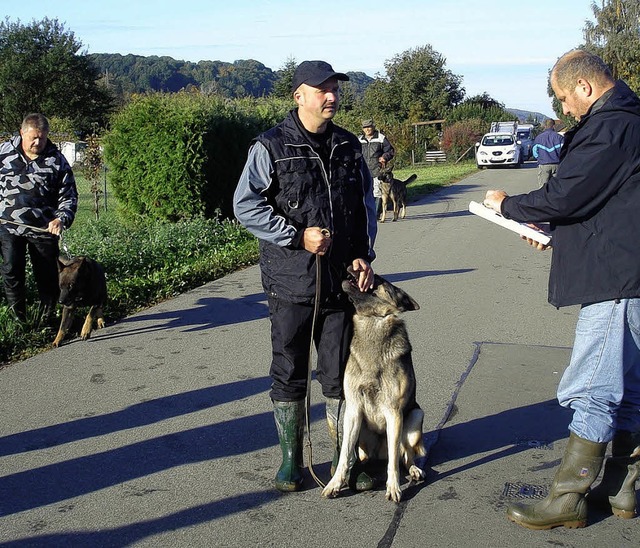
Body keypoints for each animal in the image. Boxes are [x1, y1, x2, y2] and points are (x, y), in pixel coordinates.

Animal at [322, 268, 428, 504]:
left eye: (377, 280)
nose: (353, 268)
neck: (372, 320)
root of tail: (378, 451)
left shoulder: (394, 413)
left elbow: (394, 463)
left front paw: (394, 487)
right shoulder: (353, 410)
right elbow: (344, 455)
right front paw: (335, 483)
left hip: (415, 418)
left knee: (404, 455)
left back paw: (413, 469)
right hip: (359, 428)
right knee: (362, 455)